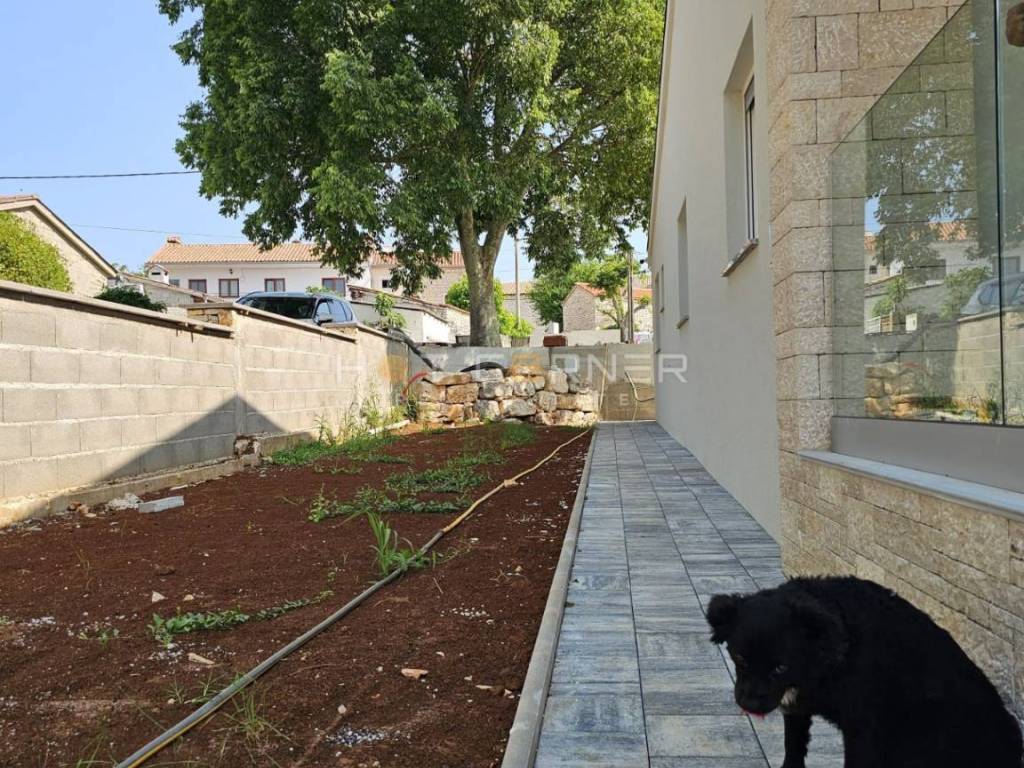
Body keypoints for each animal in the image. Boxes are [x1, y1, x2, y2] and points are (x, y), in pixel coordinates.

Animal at [706, 576, 1022, 768]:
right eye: (740, 657)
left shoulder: (864, 728)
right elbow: (793, 746)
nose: (749, 704)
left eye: (780, 667)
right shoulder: (797, 708)